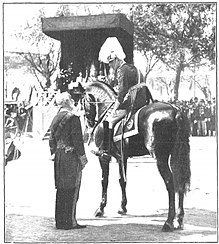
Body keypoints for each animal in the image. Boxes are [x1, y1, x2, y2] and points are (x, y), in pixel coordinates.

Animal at [83, 81, 191, 232]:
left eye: (83, 101)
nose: (89, 122)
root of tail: (176, 111)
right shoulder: (122, 157)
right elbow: (122, 181)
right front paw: (122, 207)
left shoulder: (104, 157)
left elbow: (104, 181)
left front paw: (100, 208)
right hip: (176, 156)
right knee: (179, 180)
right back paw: (179, 219)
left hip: (160, 158)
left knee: (170, 182)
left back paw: (168, 222)